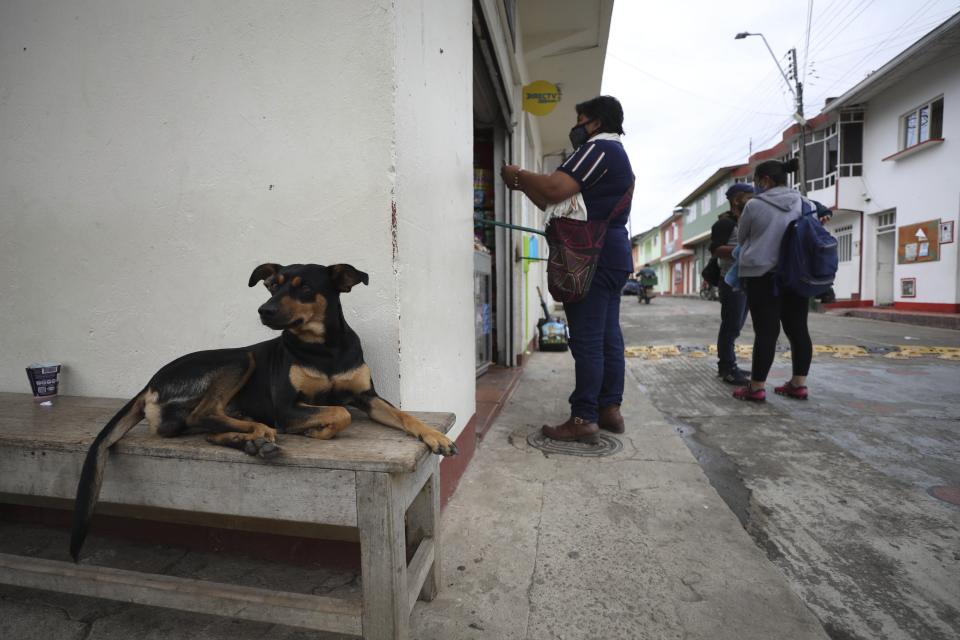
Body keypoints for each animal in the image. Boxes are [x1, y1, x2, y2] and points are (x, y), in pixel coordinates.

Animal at [73, 262, 456, 560]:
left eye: (304, 288)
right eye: (272, 285)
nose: (264, 310)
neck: (325, 349)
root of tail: (150, 382)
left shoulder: (368, 397)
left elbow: (403, 415)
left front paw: (435, 437)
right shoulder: (287, 408)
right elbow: (338, 413)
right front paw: (315, 430)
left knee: (205, 428)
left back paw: (249, 439)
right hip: (240, 358)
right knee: (204, 412)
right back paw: (258, 432)